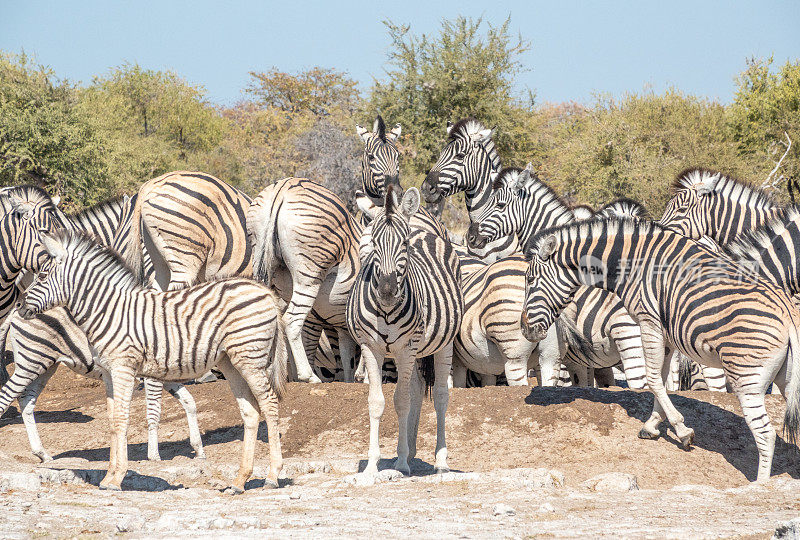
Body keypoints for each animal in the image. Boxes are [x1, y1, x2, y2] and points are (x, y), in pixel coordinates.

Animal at [0, 196, 206, 462]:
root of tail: (17, 309)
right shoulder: (150, 376)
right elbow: (154, 411)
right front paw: (154, 455)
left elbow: (189, 402)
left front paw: (198, 447)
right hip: (31, 360)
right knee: (8, 395)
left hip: (45, 364)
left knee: (26, 400)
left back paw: (42, 453)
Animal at [18, 232, 290, 494]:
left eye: (42, 275)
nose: (19, 307)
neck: (108, 310)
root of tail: (266, 292)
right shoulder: (108, 373)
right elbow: (112, 421)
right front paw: (108, 476)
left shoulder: (124, 368)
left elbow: (121, 419)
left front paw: (117, 478)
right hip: (230, 362)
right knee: (251, 412)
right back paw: (239, 481)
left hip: (249, 357)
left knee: (269, 404)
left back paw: (272, 476)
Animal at [346, 187, 466, 476]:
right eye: (372, 244)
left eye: (404, 244)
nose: (387, 292)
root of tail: (425, 231)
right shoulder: (371, 347)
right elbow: (378, 402)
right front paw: (373, 465)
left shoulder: (406, 347)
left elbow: (401, 401)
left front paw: (400, 463)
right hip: (415, 352)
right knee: (416, 390)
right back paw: (411, 452)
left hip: (440, 345)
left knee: (441, 397)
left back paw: (440, 461)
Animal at [520, 216, 800, 480]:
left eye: (530, 280)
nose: (524, 329)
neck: (632, 262)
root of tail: (788, 313)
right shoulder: (665, 335)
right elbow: (661, 380)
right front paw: (653, 425)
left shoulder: (649, 322)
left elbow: (652, 379)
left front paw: (681, 430)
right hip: (786, 378)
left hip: (746, 375)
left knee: (766, 434)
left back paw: (760, 484)